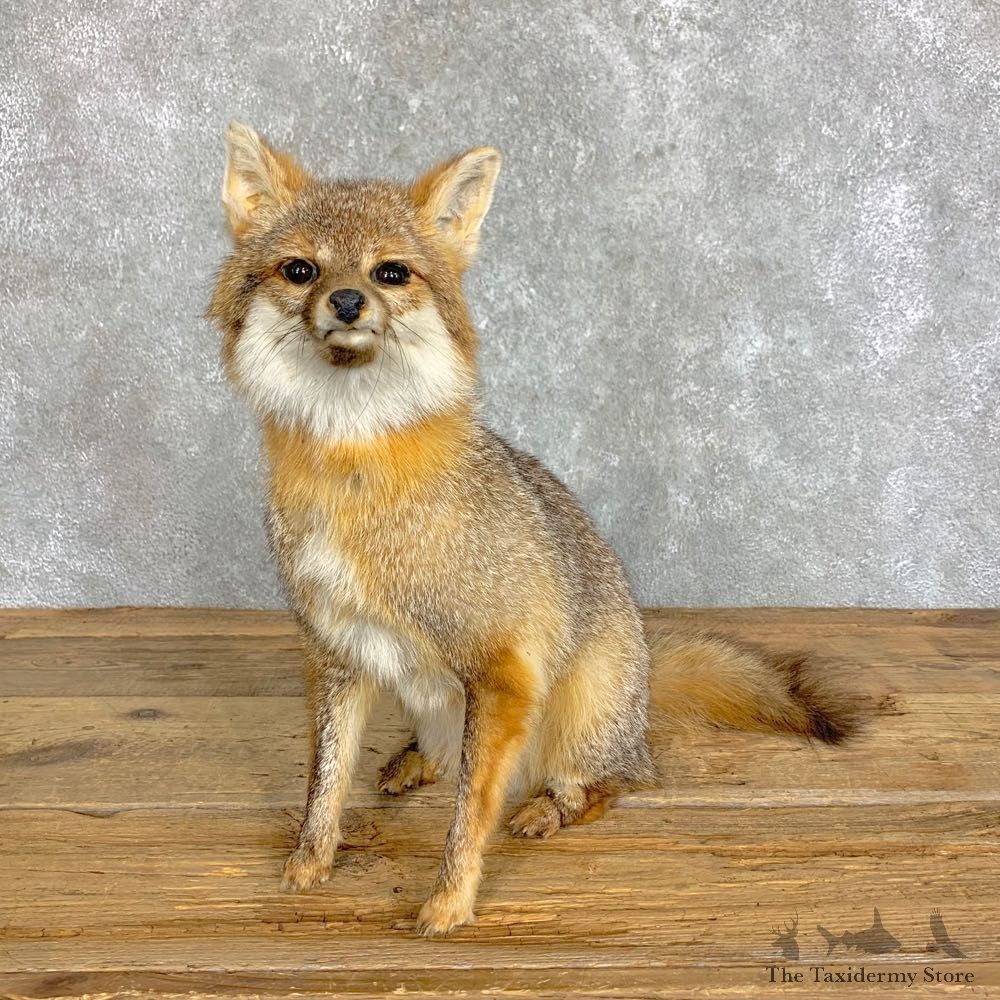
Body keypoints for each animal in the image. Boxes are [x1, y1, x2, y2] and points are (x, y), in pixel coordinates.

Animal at [207, 122, 860, 936]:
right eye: (301, 270)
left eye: (392, 272)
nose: (349, 301)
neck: (354, 472)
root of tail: (645, 679)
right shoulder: (336, 651)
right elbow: (324, 780)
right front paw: (309, 861)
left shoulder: (503, 670)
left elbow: (470, 810)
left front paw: (451, 900)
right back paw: (413, 761)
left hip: (574, 721)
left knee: (616, 782)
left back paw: (548, 808)